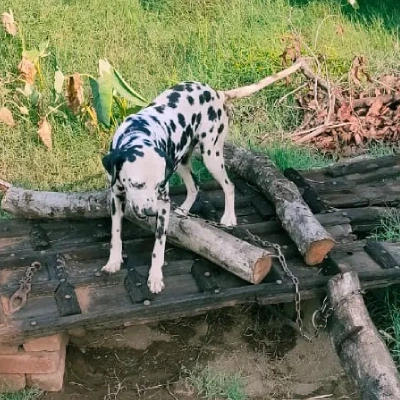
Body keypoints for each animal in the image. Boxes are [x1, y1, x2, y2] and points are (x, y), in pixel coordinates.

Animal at [101, 63, 302, 294]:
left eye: (159, 185)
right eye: (137, 184)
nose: (151, 212)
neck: (139, 132)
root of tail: (217, 93)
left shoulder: (163, 203)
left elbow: (158, 246)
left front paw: (155, 277)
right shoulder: (116, 198)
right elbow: (116, 234)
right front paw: (113, 261)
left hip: (211, 156)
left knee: (229, 185)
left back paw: (229, 217)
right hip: (181, 163)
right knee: (194, 187)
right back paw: (184, 209)